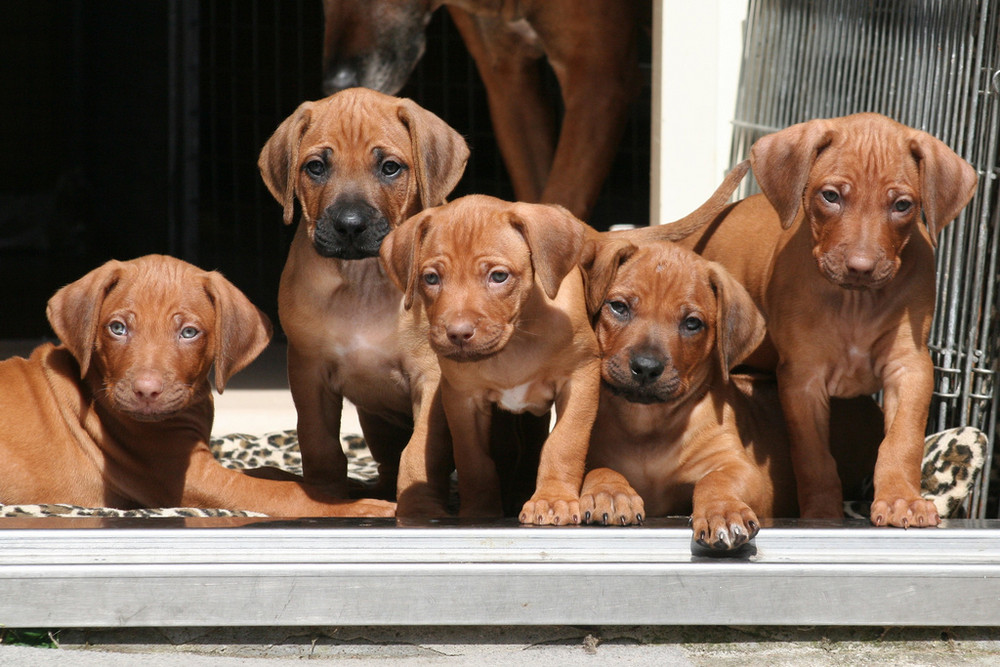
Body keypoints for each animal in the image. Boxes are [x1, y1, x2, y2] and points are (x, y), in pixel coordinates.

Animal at [0, 256, 398, 516]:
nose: (146, 392)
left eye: (189, 332)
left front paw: (339, 488)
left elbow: (273, 473)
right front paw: (362, 507)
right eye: (117, 328)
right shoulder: (191, 479)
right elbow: (284, 495)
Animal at [260, 86, 470, 508]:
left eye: (390, 168)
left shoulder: (431, 376)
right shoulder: (308, 370)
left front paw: (419, 509)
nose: (350, 225)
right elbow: (319, 443)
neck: (364, 279)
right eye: (316, 168)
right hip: (377, 423)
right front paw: (325, 495)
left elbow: (420, 453)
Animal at [680, 112, 976, 528]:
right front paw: (821, 515)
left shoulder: (910, 366)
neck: (855, 304)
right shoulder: (802, 380)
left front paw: (901, 499)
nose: (861, 267)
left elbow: (902, 441)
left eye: (902, 205)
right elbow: (814, 458)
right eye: (831, 196)